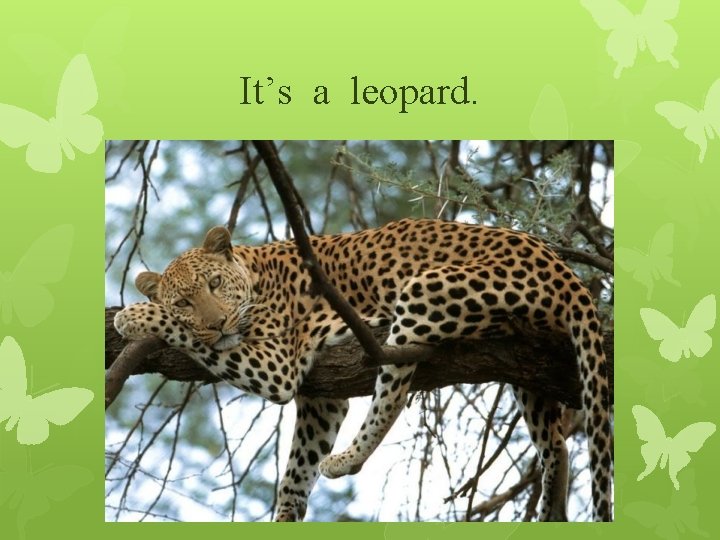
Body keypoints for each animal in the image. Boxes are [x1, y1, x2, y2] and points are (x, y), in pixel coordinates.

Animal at [113, 218, 613, 522]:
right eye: (184, 301)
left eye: (215, 284)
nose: (217, 324)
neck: (255, 273)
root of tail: (564, 270)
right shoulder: (321, 399)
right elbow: (296, 469)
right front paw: (286, 515)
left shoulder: (276, 364)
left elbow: (192, 339)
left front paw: (134, 316)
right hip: (528, 370)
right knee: (555, 444)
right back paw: (550, 511)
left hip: (423, 291)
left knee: (392, 393)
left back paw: (347, 458)